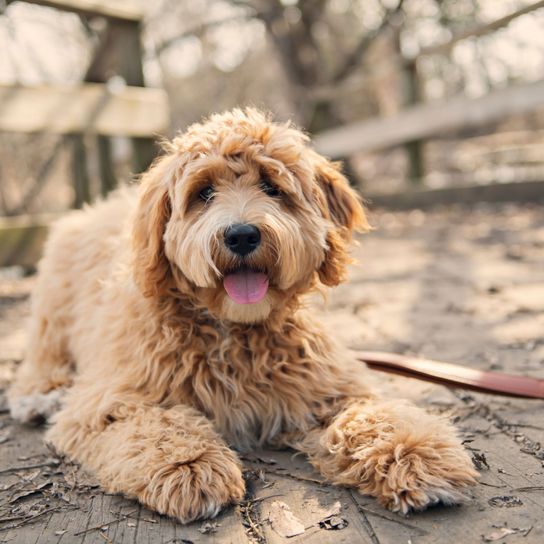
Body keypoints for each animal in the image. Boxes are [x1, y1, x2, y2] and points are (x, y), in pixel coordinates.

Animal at [7, 109, 476, 524]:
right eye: (203, 193)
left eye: (272, 186)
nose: (242, 234)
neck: (233, 330)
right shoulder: (107, 402)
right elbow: (153, 423)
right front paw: (190, 465)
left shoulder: (326, 388)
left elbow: (371, 416)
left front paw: (415, 453)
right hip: (53, 311)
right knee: (42, 359)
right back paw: (39, 396)